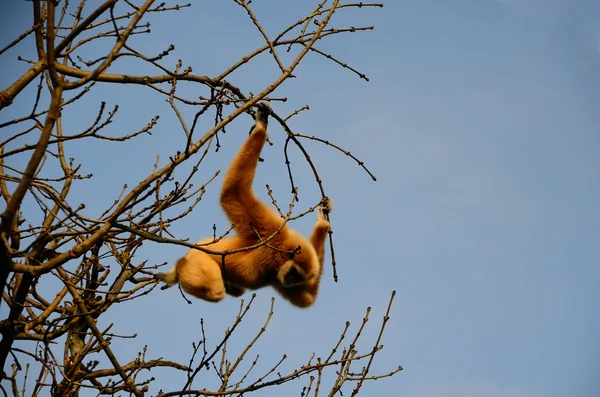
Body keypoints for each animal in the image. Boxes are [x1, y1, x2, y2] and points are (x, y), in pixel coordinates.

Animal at [157, 103, 330, 308]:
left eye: (298, 279)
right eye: (295, 274)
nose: (291, 281)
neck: (277, 260)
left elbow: (307, 299)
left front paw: (323, 222)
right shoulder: (272, 234)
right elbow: (233, 194)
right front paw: (261, 127)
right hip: (198, 259)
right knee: (216, 291)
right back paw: (180, 267)